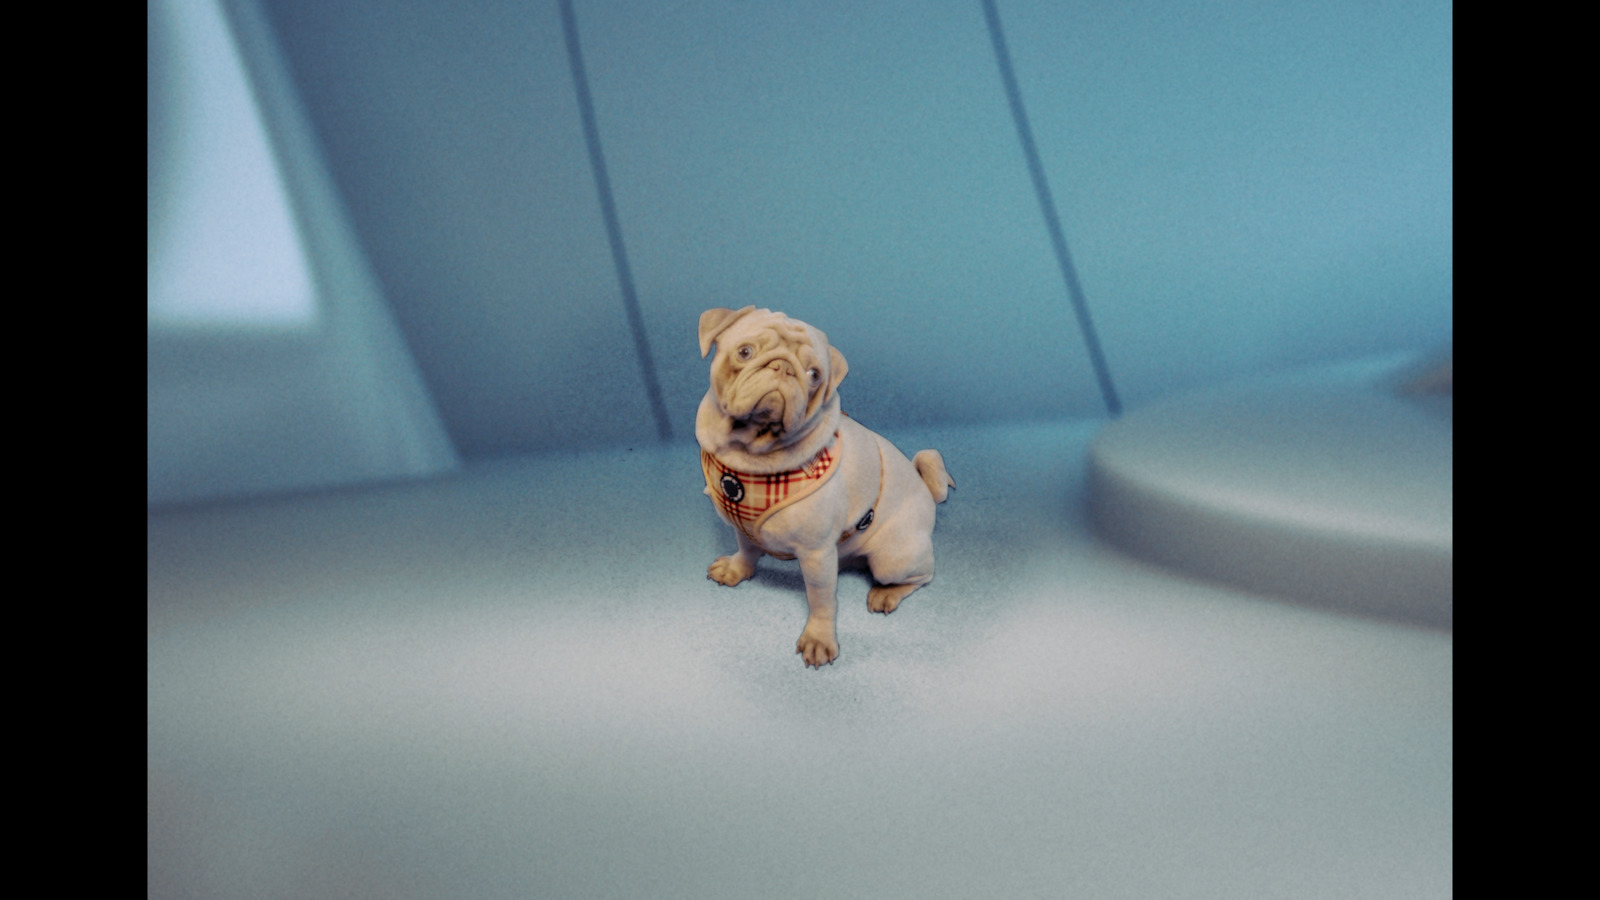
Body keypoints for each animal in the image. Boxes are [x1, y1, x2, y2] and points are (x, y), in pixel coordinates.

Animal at [697, 304, 947, 662]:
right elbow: (747, 548)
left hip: (892, 559)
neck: (750, 456)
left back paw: (886, 594)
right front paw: (737, 569)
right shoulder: (741, 527)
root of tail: (926, 491)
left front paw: (818, 637)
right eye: (744, 352)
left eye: (814, 374)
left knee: (923, 575)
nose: (783, 367)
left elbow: (821, 599)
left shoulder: (816, 556)